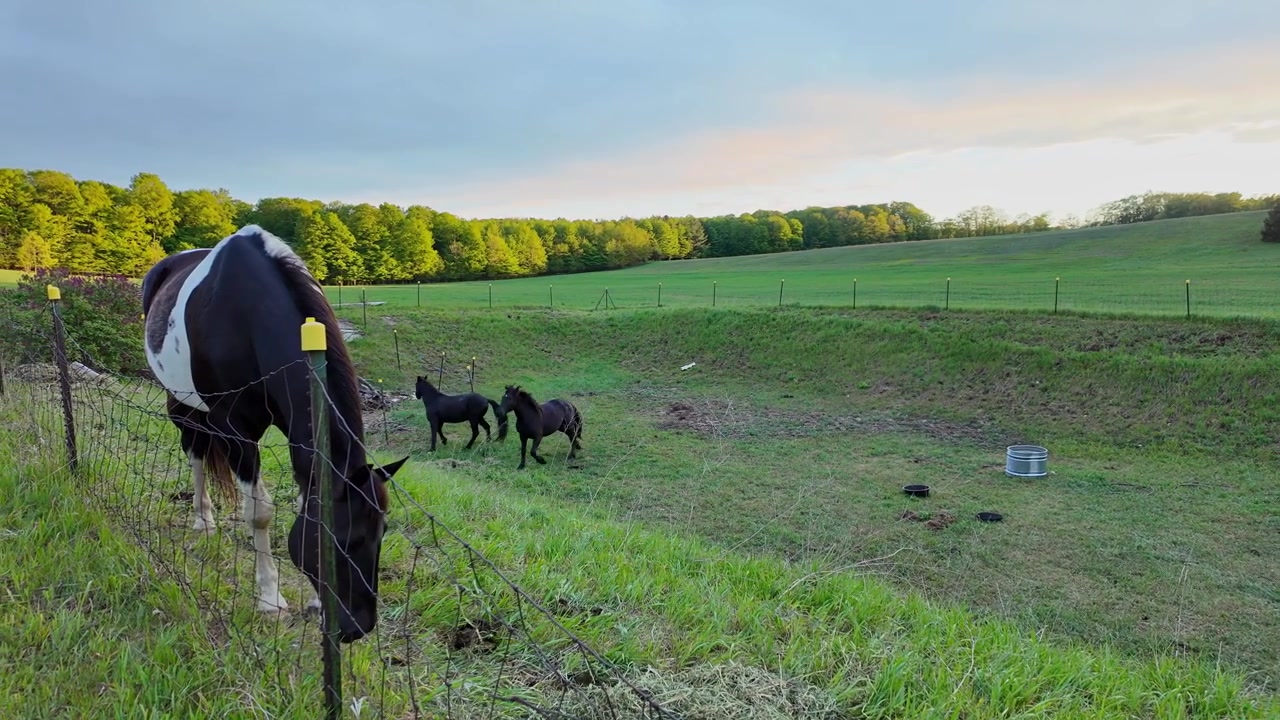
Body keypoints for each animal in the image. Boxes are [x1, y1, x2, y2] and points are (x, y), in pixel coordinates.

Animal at [140, 225, 409, 644]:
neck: (247, 315)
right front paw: (269, 598)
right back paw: (204, 519)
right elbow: (260, 514)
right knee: (196, 452)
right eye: (344, 541)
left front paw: (314, 602)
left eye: (382, 534)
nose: (357, 628)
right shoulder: (236, 430)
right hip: (181, 403)